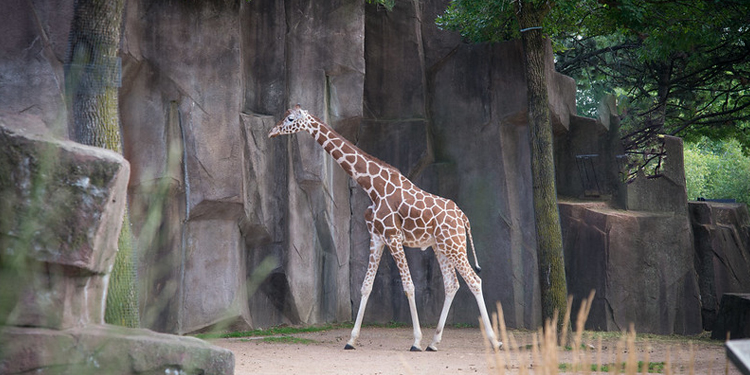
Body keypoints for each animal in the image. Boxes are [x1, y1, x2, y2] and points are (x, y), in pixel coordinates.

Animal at [268, 104, 502, 352]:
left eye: (290, 119)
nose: (271, 132)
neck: (373, 186)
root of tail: (463, 217)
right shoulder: (377, 237)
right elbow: (365, 286)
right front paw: (351, 340)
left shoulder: (393, 236)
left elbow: (409, 286)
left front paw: (415, 341)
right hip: (441, 247)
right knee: (452, 284)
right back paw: (434, 342)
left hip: (454, 244)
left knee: (474, 281)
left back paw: (494, 341)